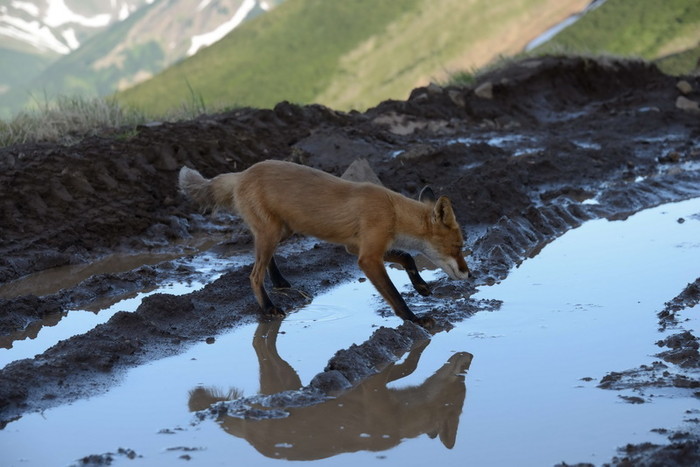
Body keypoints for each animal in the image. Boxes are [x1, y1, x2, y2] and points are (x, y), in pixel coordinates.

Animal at [178, 161, 470, 330]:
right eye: (457, 246)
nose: (469, 274)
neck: (392, 211)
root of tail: (241, 174)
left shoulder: (359, 248)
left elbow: (407, 257)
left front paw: (421, 286)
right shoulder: (367, 257)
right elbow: (394, 295)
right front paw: (414, 320)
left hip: (282, 231)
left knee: (265, 260)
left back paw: (280, 283)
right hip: (273, 232)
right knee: (253, 275)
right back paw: (269, 307)